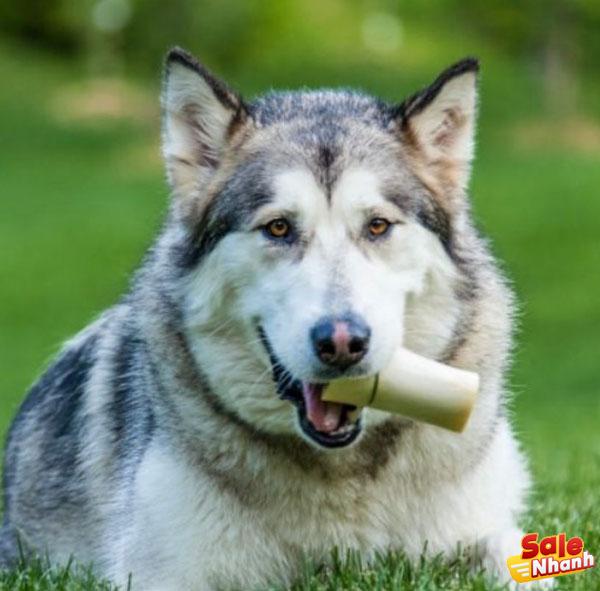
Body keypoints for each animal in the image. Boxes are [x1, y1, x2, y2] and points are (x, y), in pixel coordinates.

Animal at [2, 48, 532, 588]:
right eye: (278, 228)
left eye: (378, 226)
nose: (342, 342)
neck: (342, 470)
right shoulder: (162, 572)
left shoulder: (485, 528)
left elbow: (508, 553)